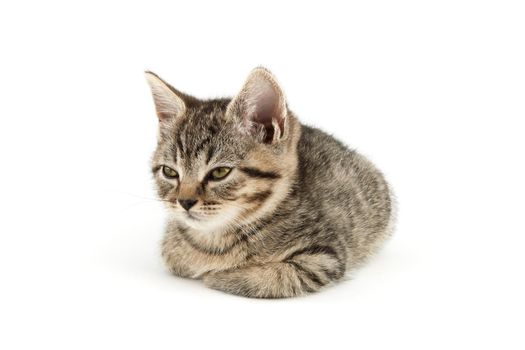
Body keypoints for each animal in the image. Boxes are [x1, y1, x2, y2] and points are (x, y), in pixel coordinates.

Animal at [143, 66, 392, 298]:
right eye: (169, 172)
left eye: (220, 172)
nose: (184, 201)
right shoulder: (171, 251)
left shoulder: (324, 258)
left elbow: (273, 277)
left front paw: (220, 275)